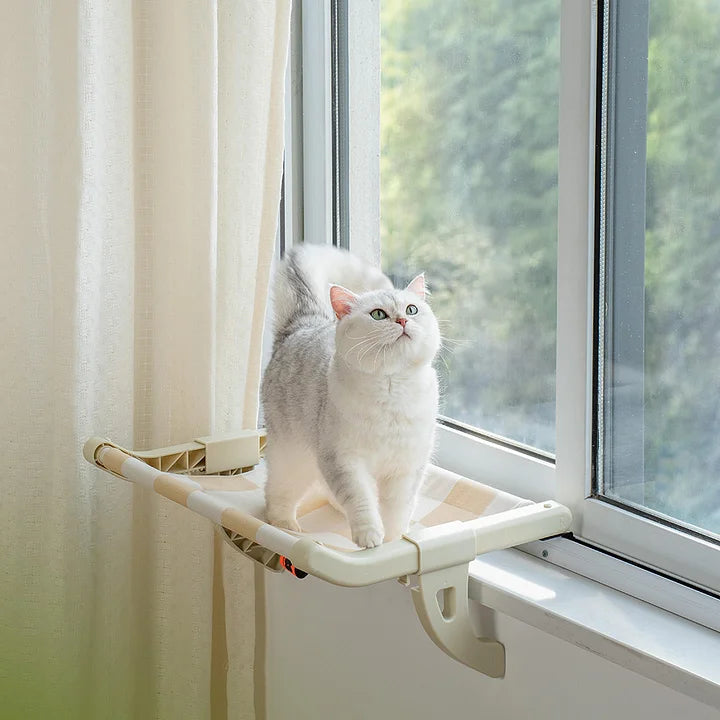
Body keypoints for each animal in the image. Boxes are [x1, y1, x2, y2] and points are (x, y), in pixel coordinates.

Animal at [258, 245, 438, 548]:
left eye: (412, 309)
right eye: (378, 315)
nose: (402, 320)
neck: (392, 389)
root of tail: (303, 324)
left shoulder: (407, 467)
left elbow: (396, 508)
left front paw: (393, 541)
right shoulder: (344, 460)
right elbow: (360, 501)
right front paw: (370, 538)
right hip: (294, 458)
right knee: (277, 494)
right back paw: (288, 526)